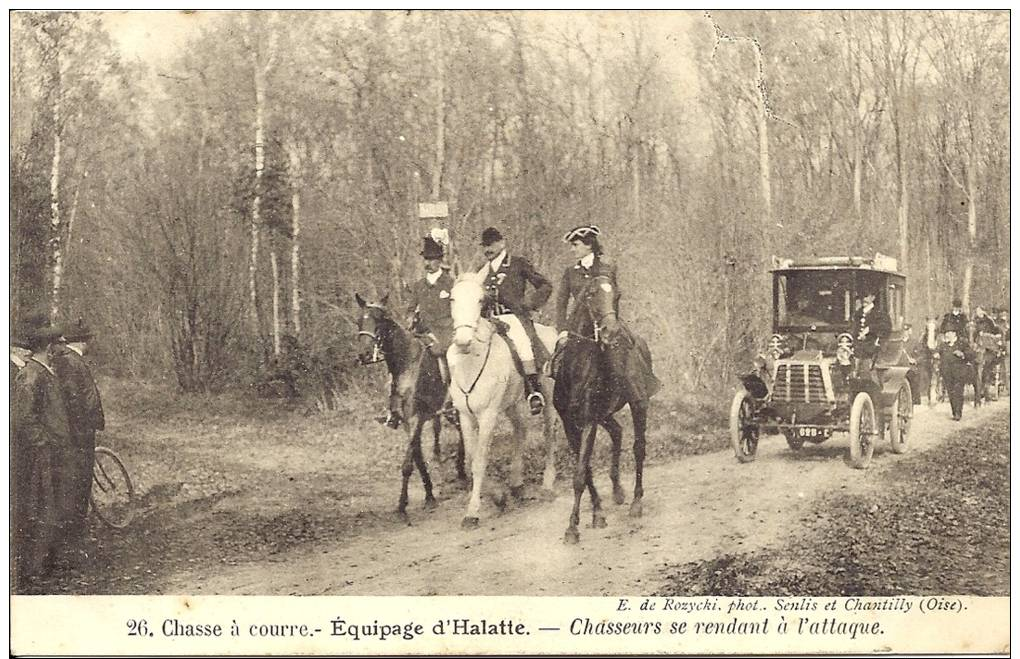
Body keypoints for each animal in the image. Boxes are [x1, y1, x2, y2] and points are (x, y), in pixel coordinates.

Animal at [354, 293, 467, 522]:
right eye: (359, 321)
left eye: (379, 321)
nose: (364, 355)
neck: (406, 364)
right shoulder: (406, 420)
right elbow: (417, 456)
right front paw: (429, 494)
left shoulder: (417, 418)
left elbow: (408, 463)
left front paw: (401, 506)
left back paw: (463, 473)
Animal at [446, 271, 558, 530]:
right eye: (453, 299)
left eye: (480, 300)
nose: (463, 341)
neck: (470, 364)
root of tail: (551, 332)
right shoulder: (466, 416)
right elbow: (470, 458)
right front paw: (498, 496)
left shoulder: (487, 415)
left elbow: (479, 461)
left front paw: (473, 512)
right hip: (511, 405)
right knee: (520, 430)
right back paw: (516, 484)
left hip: (548, 399)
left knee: (549, 435)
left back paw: (547, 484)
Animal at [550, 275, 660, 546]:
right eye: (590, 294)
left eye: (617, 295)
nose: (612, 331)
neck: (576, 369)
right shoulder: (570, 424)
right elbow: (586, 469)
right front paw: (597, 512)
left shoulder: (589, 421)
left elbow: (580, 473)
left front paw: (572, 528)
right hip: (605, 415)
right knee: (618, 432)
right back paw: (617, 490)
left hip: (638, 404)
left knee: (639, 448)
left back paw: (636, 502)